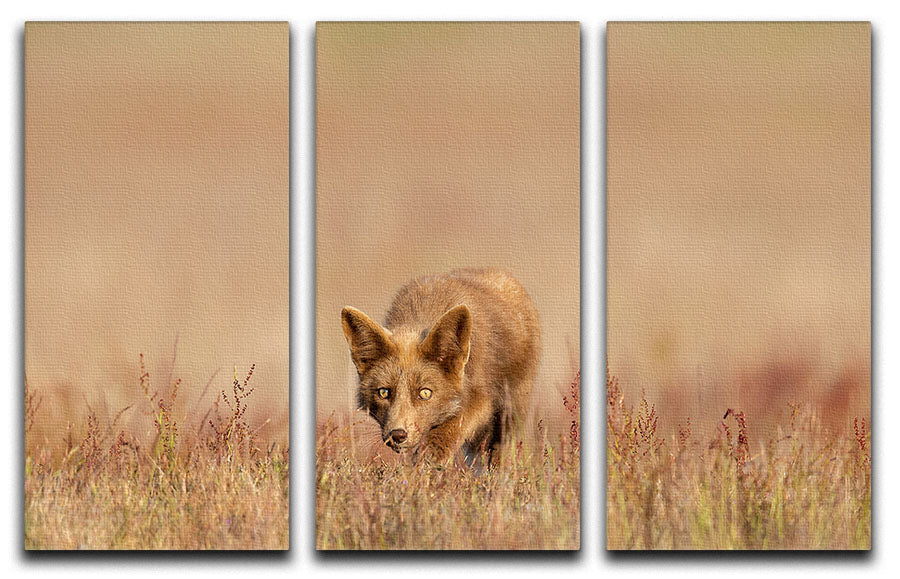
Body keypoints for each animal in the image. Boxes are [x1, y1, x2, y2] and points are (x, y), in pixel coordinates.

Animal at [341, 268, 541, 466]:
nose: (397, 435)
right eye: (383, 392)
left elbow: (449, 430)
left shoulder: (481, 399)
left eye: (425, 393)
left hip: (510, 412)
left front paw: (426, 460)